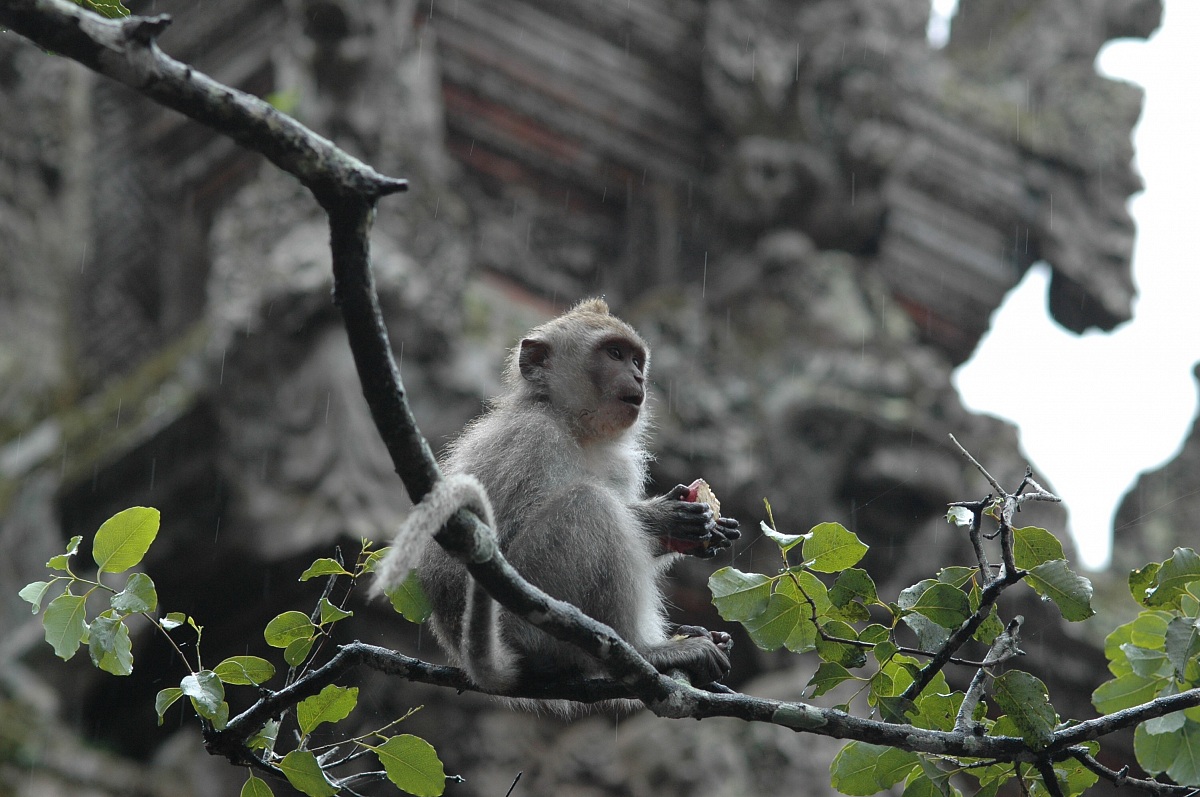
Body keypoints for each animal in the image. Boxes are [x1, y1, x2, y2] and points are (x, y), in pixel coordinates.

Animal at [373, 298, 739, 711]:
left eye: (636, 360)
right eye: (614, 354)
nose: (638, 378)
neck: (574, 428)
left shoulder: (621, 465)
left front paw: (704, 530)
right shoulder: (533, 438)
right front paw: (662, 517)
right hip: (529, 619)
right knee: (588, 504)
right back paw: (647, 650)